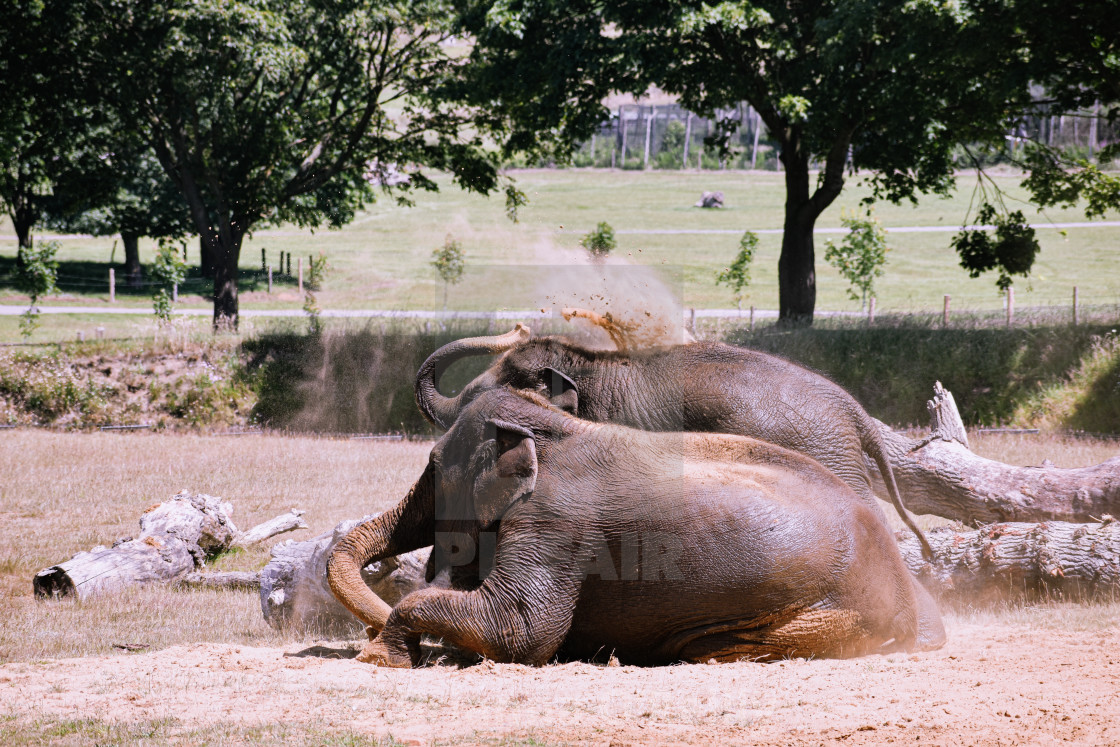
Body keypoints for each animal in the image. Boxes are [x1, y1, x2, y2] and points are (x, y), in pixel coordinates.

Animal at [327, 385, 945, 667]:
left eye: (432, 464)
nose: (366, 634)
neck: (554, 428)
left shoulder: (556, 523)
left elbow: (523, 631)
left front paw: (380, 656)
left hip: (826, 613)